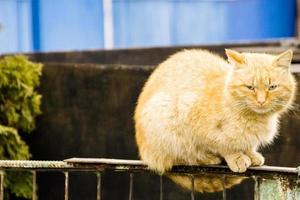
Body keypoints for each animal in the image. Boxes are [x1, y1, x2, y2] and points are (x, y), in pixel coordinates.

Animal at [135, 48, 296, 175]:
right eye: (250, 87)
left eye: (272, 87)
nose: (261, 101)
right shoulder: (194, 120)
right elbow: (223, 145)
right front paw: (237, 158)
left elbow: (246, 144)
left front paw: (251, 154)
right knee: (180, 157)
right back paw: (207, 158)